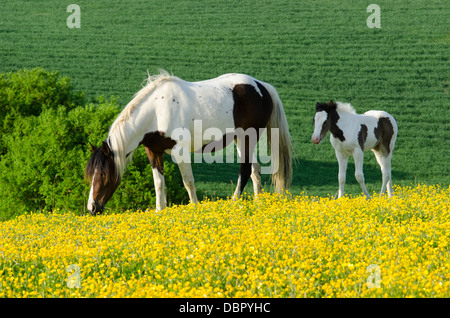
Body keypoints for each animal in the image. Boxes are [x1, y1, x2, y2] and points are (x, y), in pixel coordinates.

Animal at [85, 71, 294, 216]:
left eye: (103, 174)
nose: (92, 207)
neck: (157, 111)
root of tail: (262, 86)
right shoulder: (154, 152)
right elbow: (159, 183)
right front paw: (159, 211)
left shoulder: (180, 152)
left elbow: (188, 182)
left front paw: (194, 207)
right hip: (241, 140)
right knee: (254, 169)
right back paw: (258, 203)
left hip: (247, 137)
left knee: (244, 170)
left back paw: (234, 202)